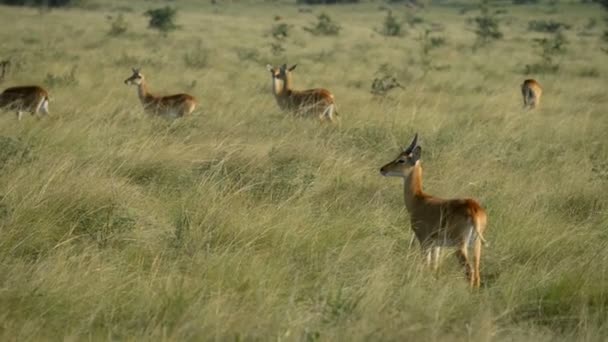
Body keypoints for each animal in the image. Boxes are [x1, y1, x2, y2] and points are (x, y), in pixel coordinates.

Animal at [380, 134, 490, 288]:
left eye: (401, 160)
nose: (382, 169)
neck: (419, 199)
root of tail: (474, 208)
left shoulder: (424, 241)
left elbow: (425, 265)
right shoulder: (436, 245)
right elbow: (434, 267)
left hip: (460, 247)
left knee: (470, 272)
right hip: (476, 245)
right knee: (478, 274)